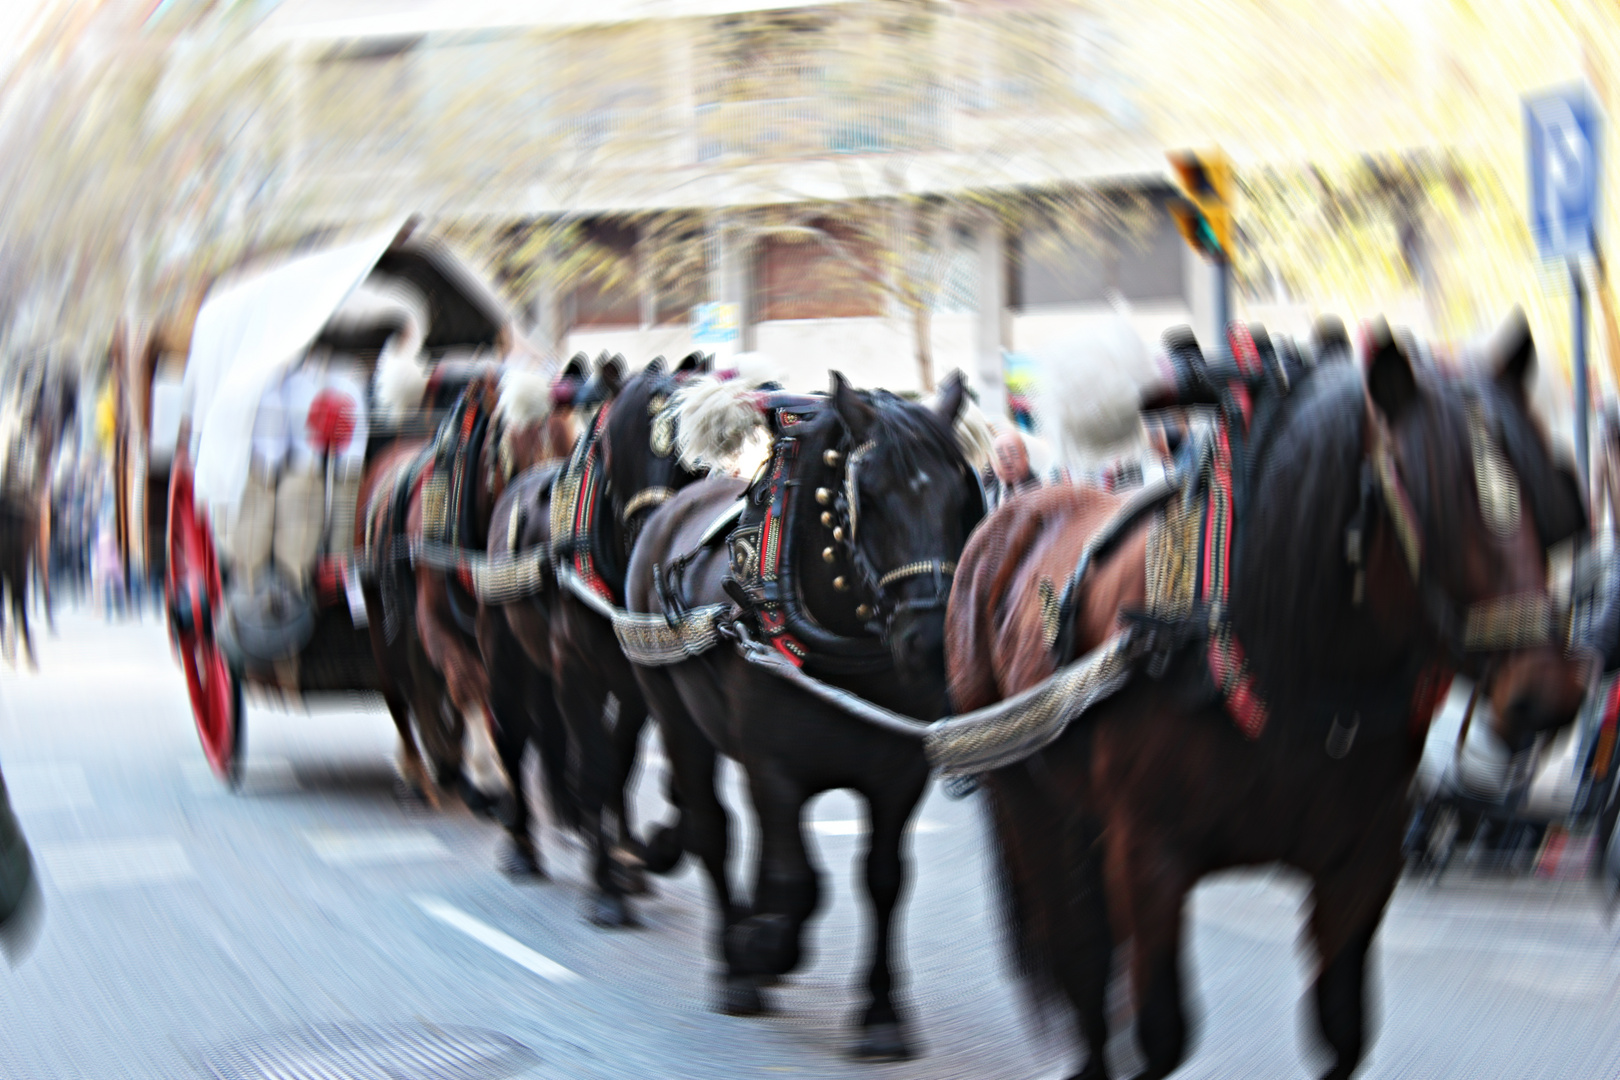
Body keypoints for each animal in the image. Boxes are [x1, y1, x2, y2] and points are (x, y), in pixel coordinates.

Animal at [618, 369, 978, 1055]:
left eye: (963, 496)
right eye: (871, 497)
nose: (932, 642)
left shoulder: (898, 777)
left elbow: (883, 878)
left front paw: (882, 1014)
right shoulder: (776, 769)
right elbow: (798, 881)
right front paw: (763, 948)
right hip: (678, 722)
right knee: (713, 830)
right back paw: (736, 963)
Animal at [946, 317, 1587, 1080]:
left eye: (1550, 497)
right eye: (1433, 500)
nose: (1544, 693)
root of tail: (1012, 515)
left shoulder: (1361, 867)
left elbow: (1343, 1030)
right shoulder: (1148, 858)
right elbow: (1160, 1030)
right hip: (1026, 801)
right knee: (1078, 951)